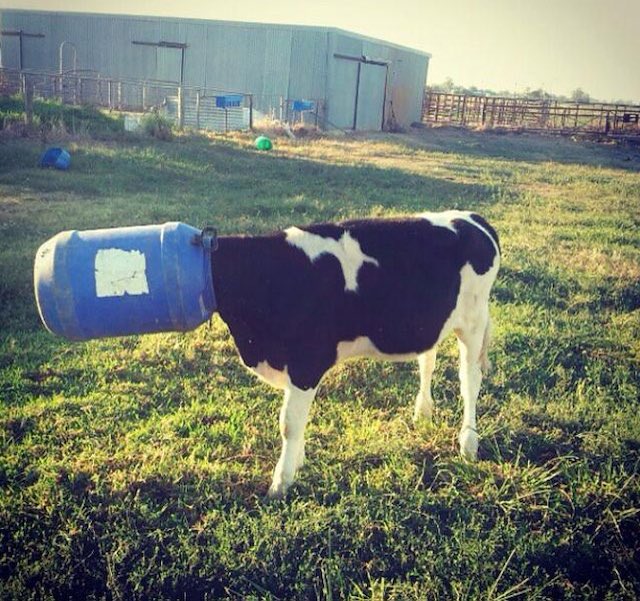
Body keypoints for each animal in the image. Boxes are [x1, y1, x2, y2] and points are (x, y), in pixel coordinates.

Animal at [211, 210, 501, 498]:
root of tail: (472, 218)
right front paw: (297, 462)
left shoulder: (306, 363)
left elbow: (289, 423)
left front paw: (281, 483)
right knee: (427, 362)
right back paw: (422, 414)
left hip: (473, 322)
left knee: (469, 381)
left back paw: (468, 443)